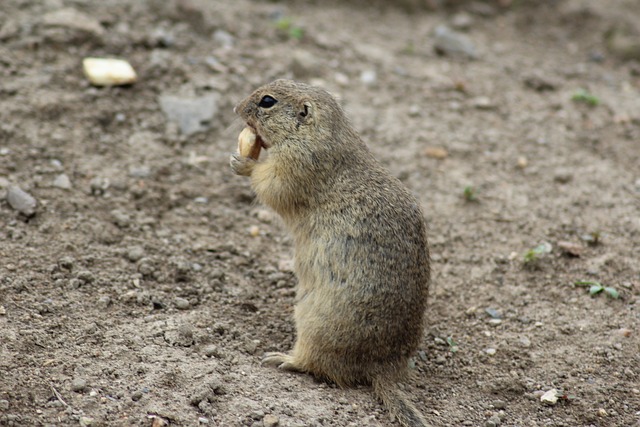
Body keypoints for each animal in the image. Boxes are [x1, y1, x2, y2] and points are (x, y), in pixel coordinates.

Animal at [230, 80, 430, 427]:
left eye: (267, 101)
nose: (236, 108)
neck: (321, 134)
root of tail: (382, 368)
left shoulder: (297, 164)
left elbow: (269, 184)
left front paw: (243, 163)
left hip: (313, 324)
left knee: (316, 364)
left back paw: (282, 359)